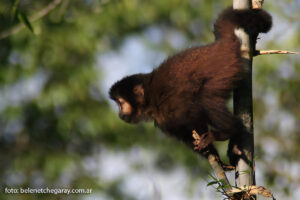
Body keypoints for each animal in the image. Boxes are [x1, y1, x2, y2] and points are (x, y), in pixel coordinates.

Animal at [108, 7, 272, 168]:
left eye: (120, 103)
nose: (119, 113)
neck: (149, 99)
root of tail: (219, 44)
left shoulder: (169, 102)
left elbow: (193, 113)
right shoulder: (163, 121)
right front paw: (215, 158)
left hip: (225, 67)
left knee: (206, 98)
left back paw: (229, 131)